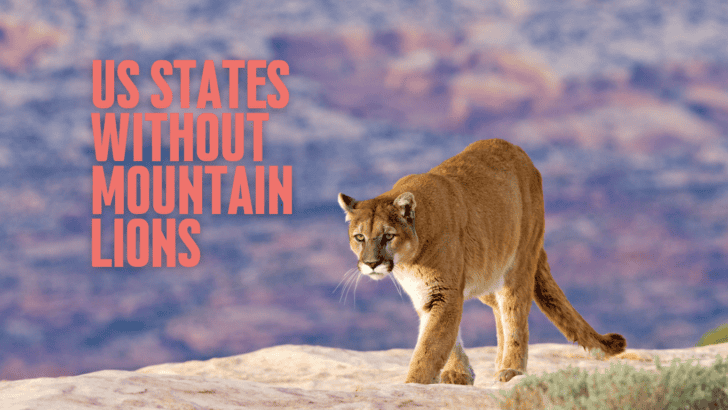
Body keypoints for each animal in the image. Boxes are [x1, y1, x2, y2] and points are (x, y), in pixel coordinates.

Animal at [337, 139, 626, 384]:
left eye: (388, 236)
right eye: (359, 237)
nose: (371, 264)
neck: (409, 260)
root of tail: (518, 151)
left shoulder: (445, 291)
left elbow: (431, 344)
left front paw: (414, 383)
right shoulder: (428, 293)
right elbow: (445, 336)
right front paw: (459, 373)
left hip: (518, 263)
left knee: (514, 314)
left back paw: (511, 369)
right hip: (487, 272)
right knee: (499, 310)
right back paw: (498, 362)